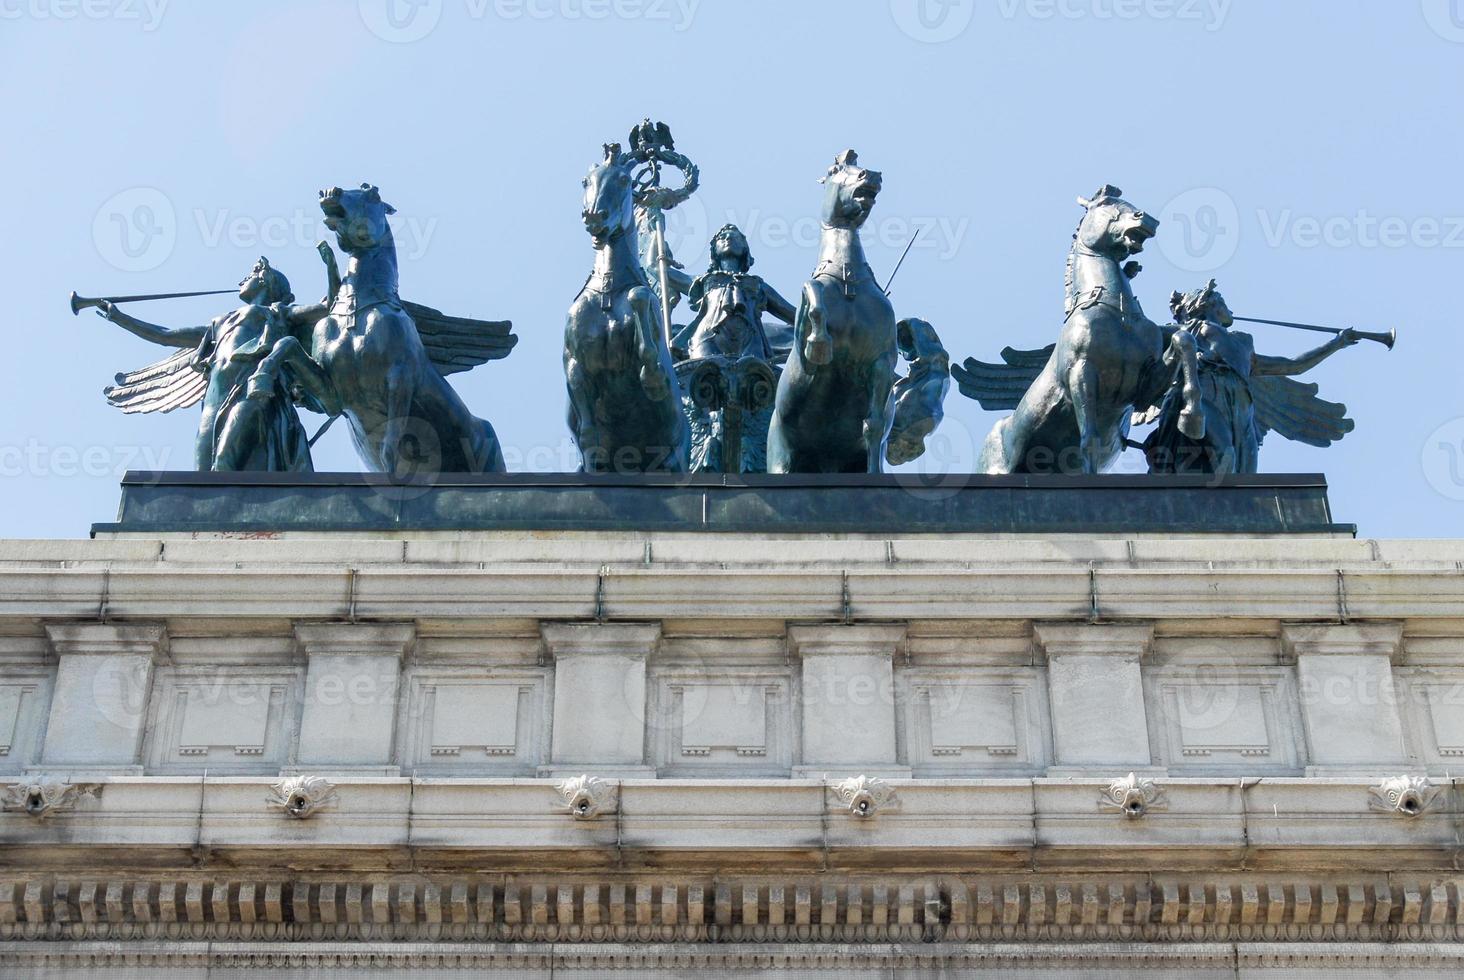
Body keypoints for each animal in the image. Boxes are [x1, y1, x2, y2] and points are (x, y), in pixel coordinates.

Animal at [565, 142, 691, 474]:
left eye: (624, 180)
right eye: (586, 181)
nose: (595, 217)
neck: (608, 295)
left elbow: (640, 296)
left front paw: (653, 377)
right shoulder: (574, 364)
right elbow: (588, 437)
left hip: (673, 460)